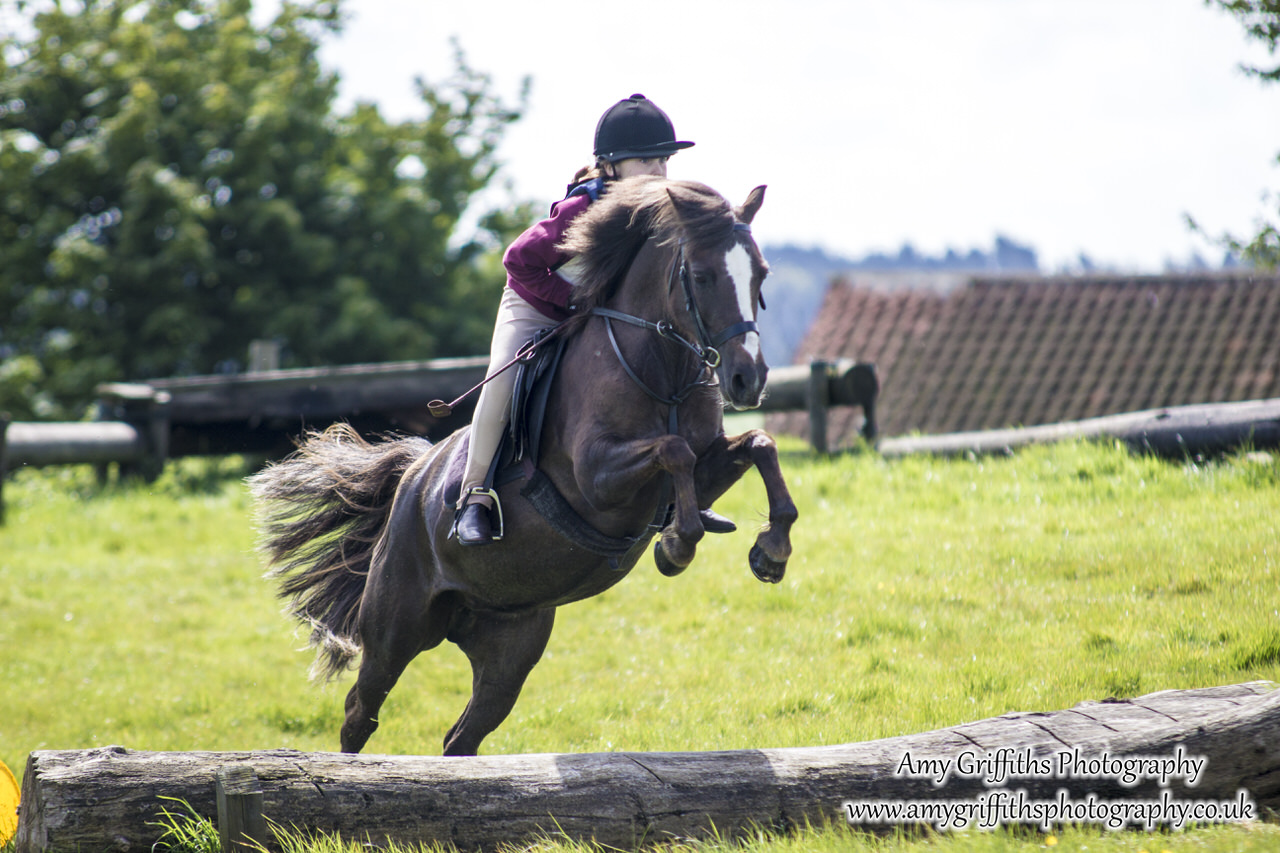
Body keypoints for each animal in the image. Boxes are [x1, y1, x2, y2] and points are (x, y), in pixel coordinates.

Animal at [247, 178, 798, 753]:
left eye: (760, 274)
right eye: (702, 275)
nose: (748, 380)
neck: (659, 366)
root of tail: (413, 477)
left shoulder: (705, 466)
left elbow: (758, 444)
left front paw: (771, 552)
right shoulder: (597, 478)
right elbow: (674, 452)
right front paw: (676, 547)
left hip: (511, 641)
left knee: (462, 736)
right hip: (397, 625)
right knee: (361, 709)